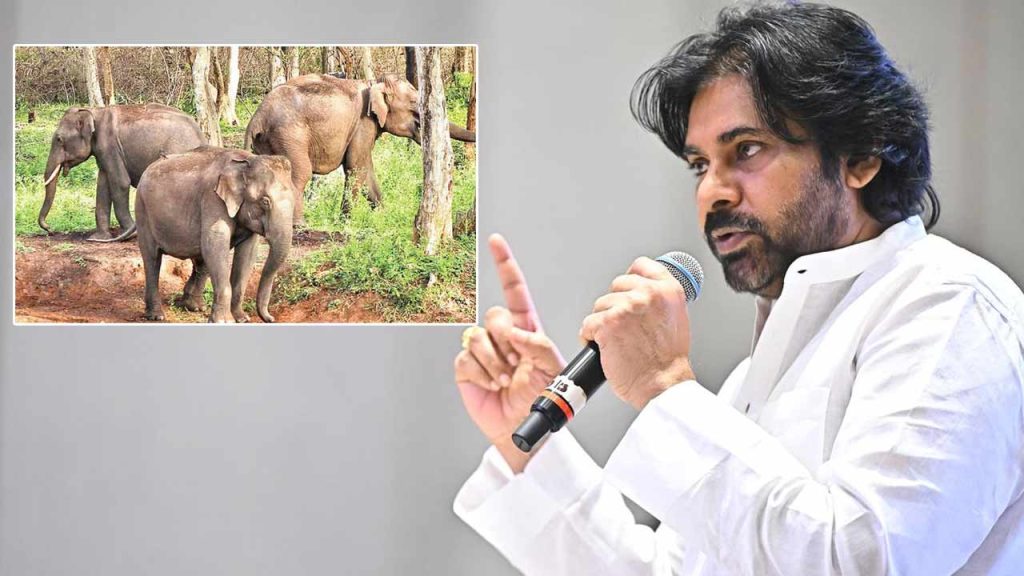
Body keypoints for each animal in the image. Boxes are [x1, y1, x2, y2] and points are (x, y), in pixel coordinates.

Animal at [39, 103, 206, 240]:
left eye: (59, 139)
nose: (50, 230)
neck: (94, 111)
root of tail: (201, 136)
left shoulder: (110, 146)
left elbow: (120, 182)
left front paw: (129, 234)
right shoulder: (102, 152)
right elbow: (103, 185)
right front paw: (98, 238)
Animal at [101, 146, 295, 323]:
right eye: (265, 201)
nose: (271, 318)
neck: (247, 160)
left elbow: (247, 253)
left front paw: (242, 319)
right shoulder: (212, 199)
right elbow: (215, 243)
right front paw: (225, 322)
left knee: (201, 259)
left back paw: (193, 306)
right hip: (142, 210)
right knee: (152, 259)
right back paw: (156, 316)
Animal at [244, 73, 476, 225]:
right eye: (413, 103)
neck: (373, 82)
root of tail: (257, 118)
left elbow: (366, 169)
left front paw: (383, 215)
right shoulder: (363, 123)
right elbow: (356, 167)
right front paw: (346, 222)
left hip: (268, 142)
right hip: (290, 136)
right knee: (300, 174)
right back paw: (299, 225)